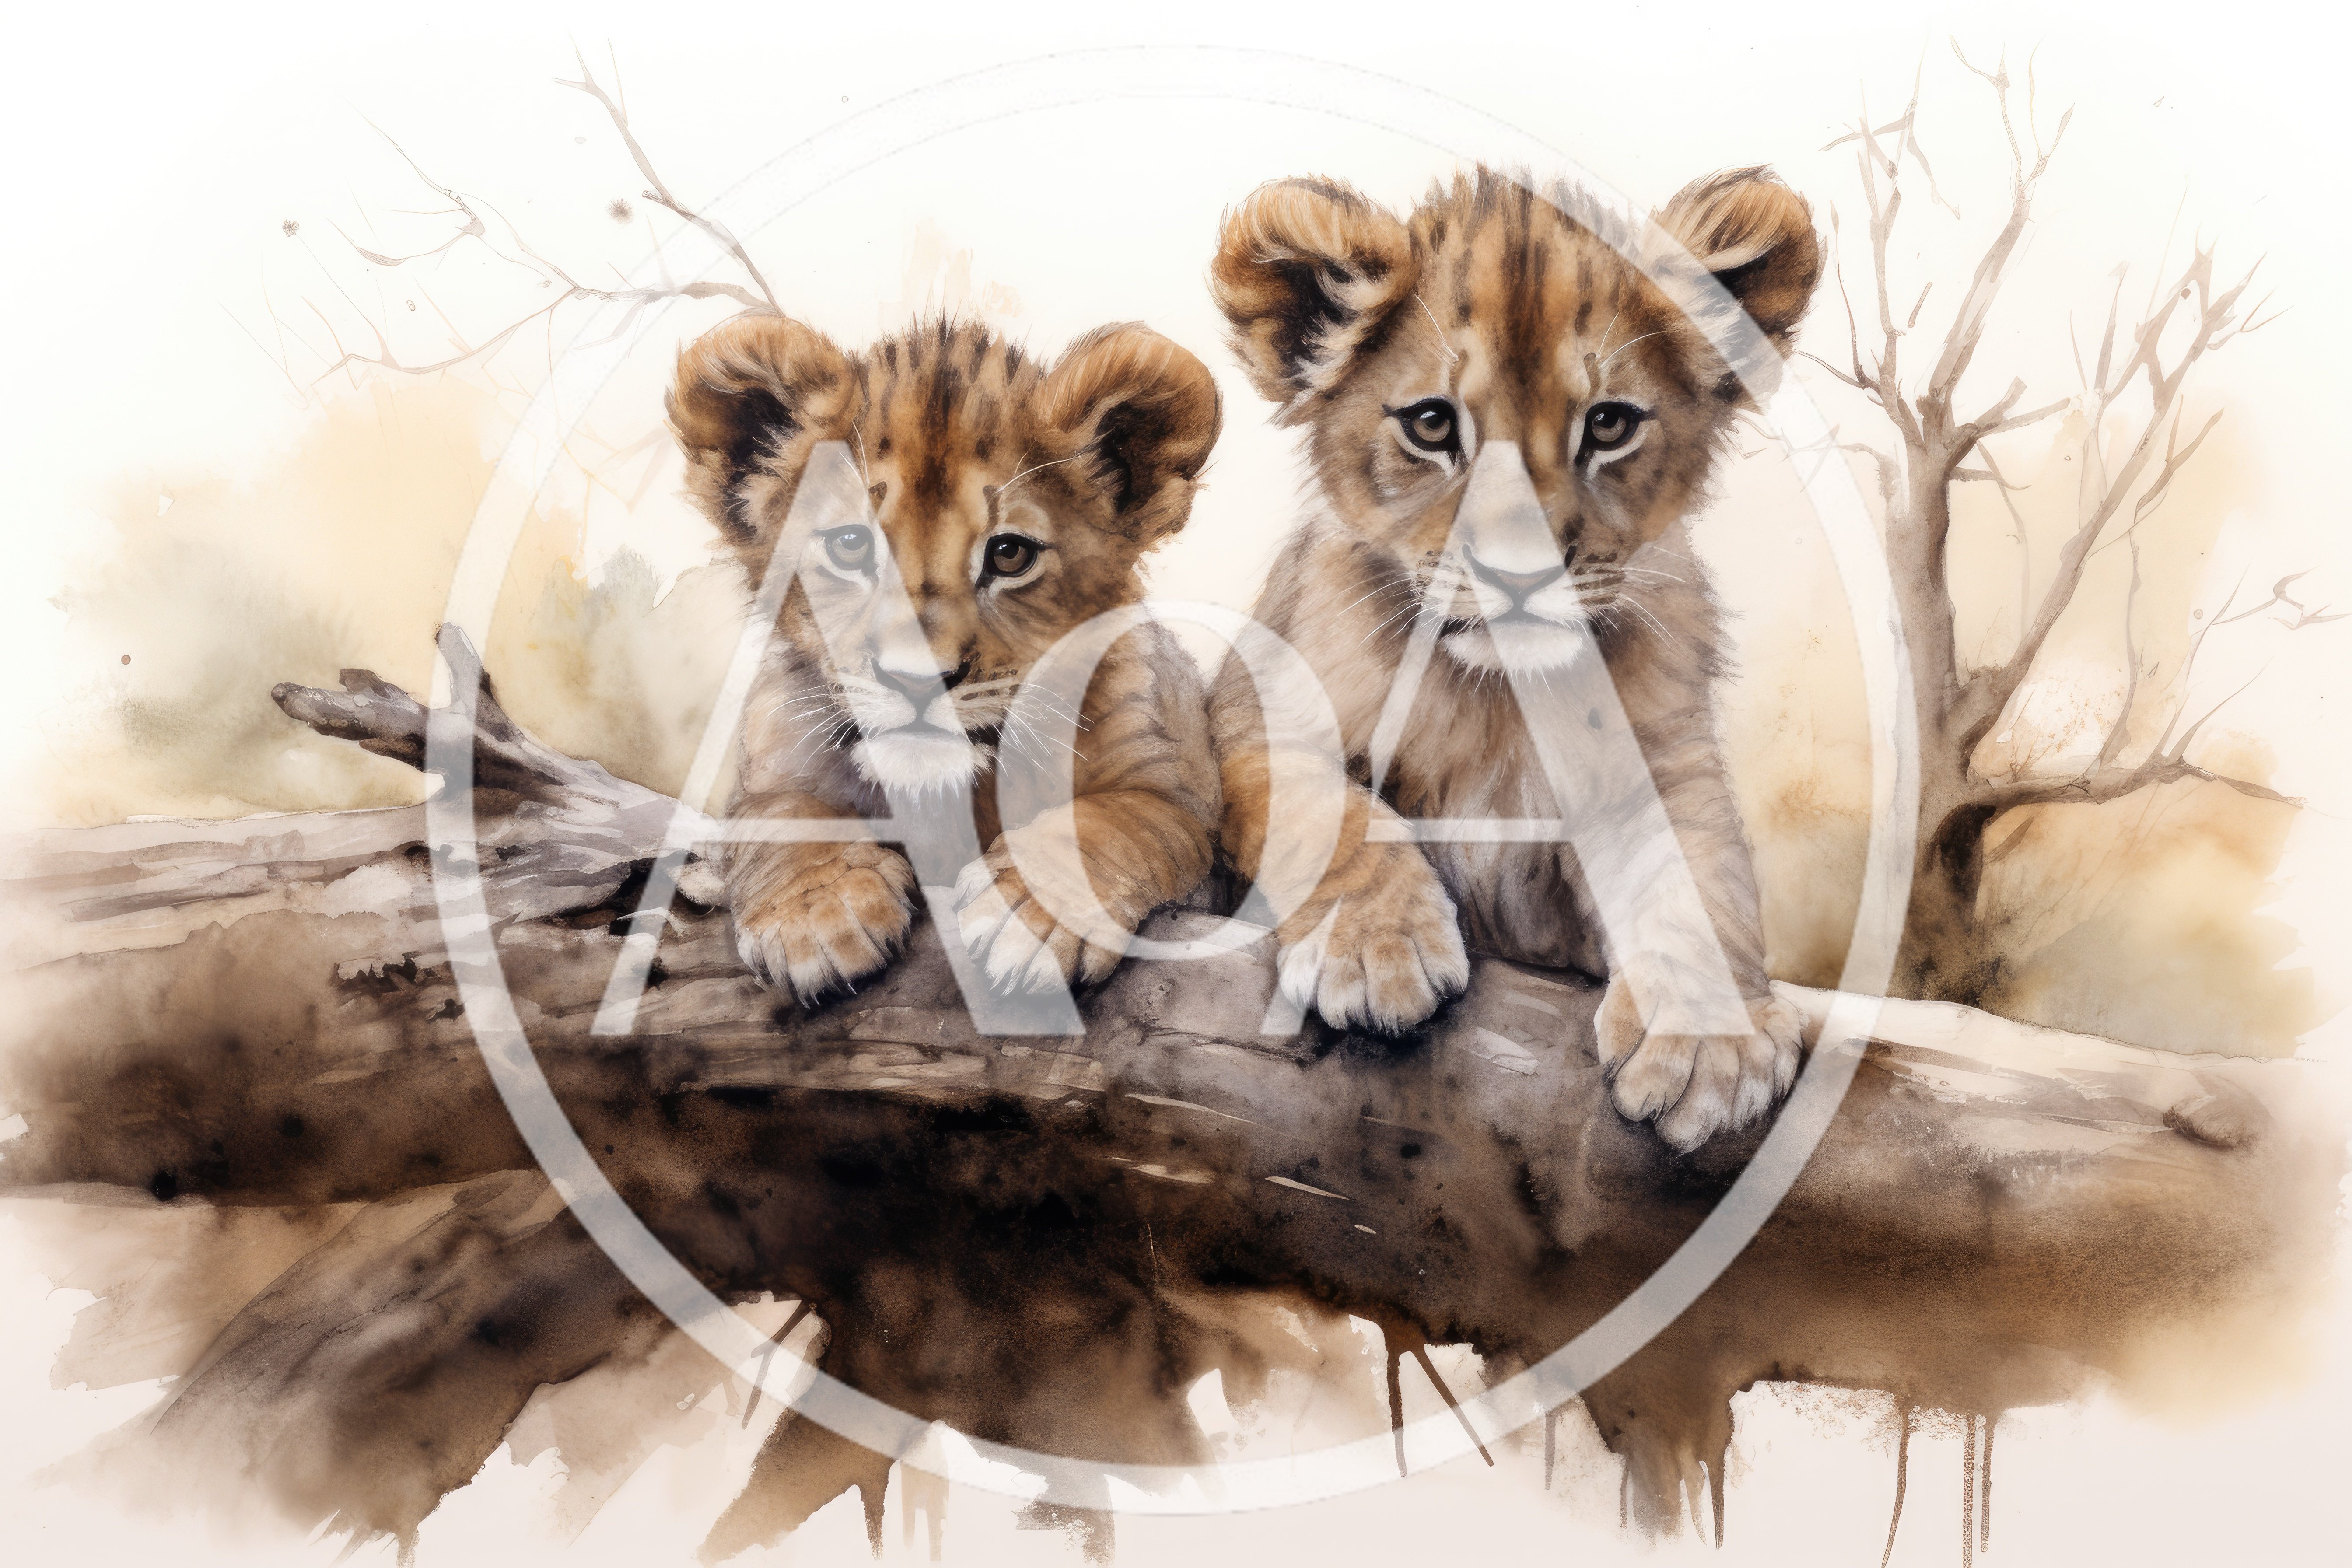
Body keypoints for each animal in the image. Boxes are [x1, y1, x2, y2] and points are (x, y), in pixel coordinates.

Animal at [670, 312, 1224, 1003]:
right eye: (851, 546)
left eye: (1010, 554)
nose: (918, 681)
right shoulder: (777, 762)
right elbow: (778, 815)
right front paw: (815, 914)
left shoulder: (1181, 795)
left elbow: (1120, 817)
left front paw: (1027, 917)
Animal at [1206, 167, 1822, 1149]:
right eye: (1431, 425)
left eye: (1608, 425)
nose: (1521, 571)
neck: (1498, 697)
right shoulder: (1253, 712)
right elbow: (1325, 810)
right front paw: (1375, 946)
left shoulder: (1664, 763)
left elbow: (1701, 875)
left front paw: (1710, 1045)